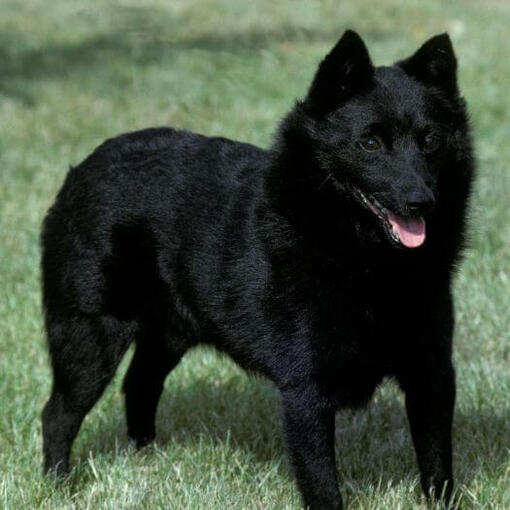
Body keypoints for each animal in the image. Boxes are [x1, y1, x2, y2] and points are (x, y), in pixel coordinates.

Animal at [40, 31, 474, 510]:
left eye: (430, 141)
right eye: (370, 143)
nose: (421, 202)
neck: (366, 261)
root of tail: (81, 171)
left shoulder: (432, 374)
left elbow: (438, 468)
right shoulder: (305, 392)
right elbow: (323, 485)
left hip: (167, 335)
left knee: (139, 386)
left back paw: (145, 462)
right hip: (89, 339)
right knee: (58, 414)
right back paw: (59, 487)